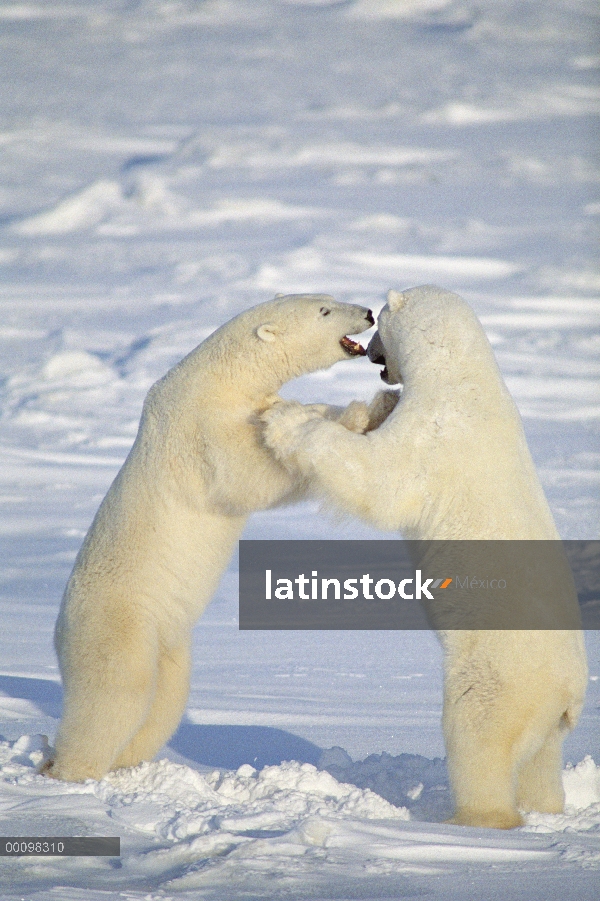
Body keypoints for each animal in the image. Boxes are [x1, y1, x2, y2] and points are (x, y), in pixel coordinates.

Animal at [44, 294, 376, 780]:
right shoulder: (199, 430)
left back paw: (125, 764)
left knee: (164, 700)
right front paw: (354, 414)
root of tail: (59, 631)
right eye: (325, 312)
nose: (369, 313)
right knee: (115, 694)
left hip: (168, 639)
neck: (221, 377)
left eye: (332, 299)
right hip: (117, 622)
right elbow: (246, 472)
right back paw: (68, 771)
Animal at [264, 284, 588, 828]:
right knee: (541, 760)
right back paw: (543, 806)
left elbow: (379, 480)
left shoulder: (435, 433)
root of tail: (571, 691)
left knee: (478, 732)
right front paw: (374, 403)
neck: (459, 373)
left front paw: (282, 420)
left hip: (501, 669)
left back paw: (474, 818)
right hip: (547, 714)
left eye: (379, 322)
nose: (373, 353)